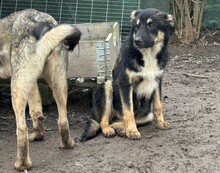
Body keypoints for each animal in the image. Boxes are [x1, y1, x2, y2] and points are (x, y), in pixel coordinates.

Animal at [0, 9, 81, 170]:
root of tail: (40, 21)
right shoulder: (32, 84)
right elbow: (36, 112)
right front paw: (39, 134)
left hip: (17, 88)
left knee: (21, 129)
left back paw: (21, 164)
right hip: (58, 83)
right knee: (62, 120)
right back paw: (66, 143)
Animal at [81, 8, 175, 142]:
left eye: (151, 25)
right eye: (137, 26)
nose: (137, 41)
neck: (148, 54)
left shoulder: (157, 81)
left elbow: (158, 105)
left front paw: (161, 123)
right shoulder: (125, 84)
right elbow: (128, 110)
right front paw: (132, 131)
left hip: (148, 115)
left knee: (117, 121)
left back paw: (120, 129)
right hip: (107, 86)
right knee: (103, 121)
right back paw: (110, 129)